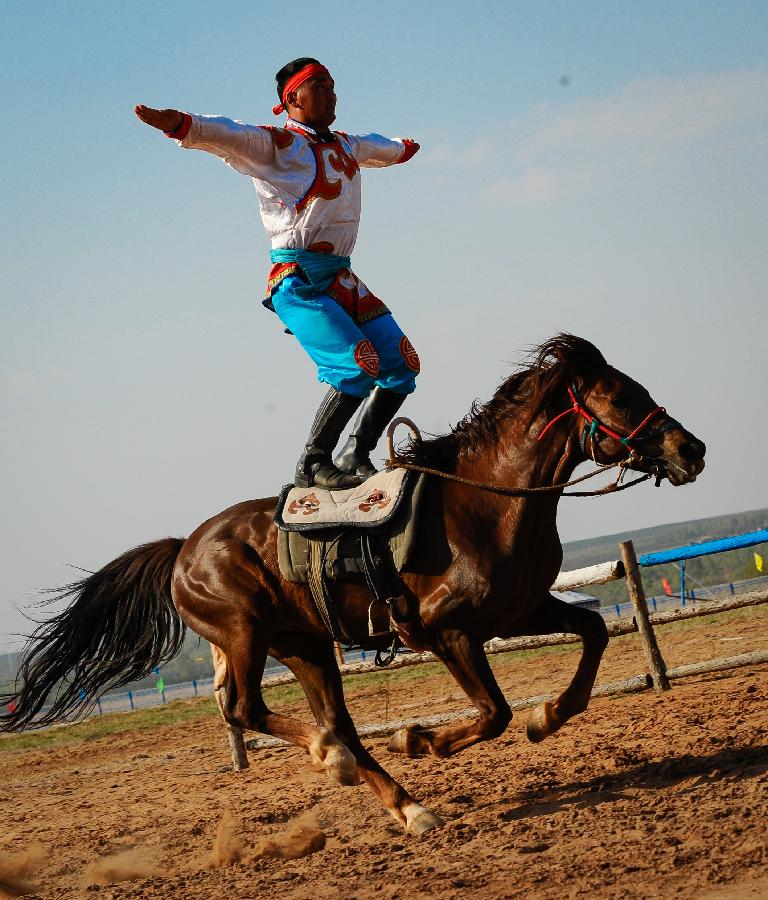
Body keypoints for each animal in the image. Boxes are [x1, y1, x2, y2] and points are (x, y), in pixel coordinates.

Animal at [3, 334, 704, 832]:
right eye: (623, 398)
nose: (690, 449)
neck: (486, 501)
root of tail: (183, 550)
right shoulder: (447, 631)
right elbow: (492, 712)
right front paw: (419, 737)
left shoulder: (520, 612)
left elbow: (591, 632)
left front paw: (547, 717)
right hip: (246, 632)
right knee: (249, 709)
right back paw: (334, 757)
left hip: (306, 646)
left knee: (329, 720)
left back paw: (407, 807)